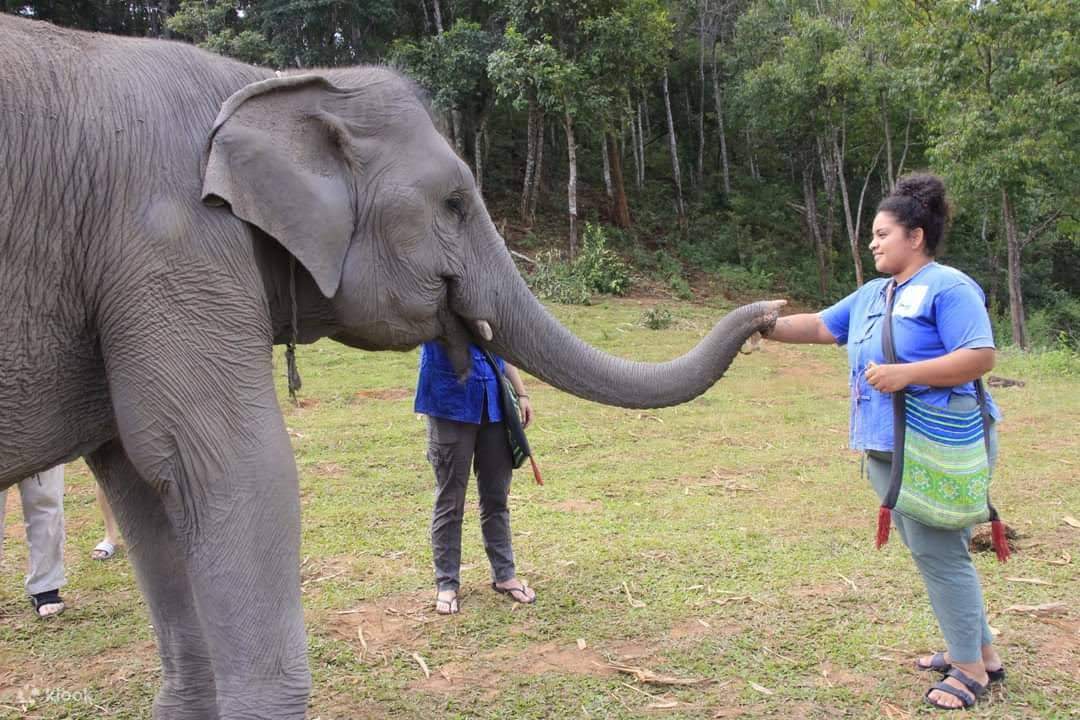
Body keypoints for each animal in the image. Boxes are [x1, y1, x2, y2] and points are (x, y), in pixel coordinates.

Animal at [0, 12, 777, 720]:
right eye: (455, 203)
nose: (771, 312)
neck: (261, 81)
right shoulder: (170, 241)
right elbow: (226, 466)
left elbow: (145, 488)